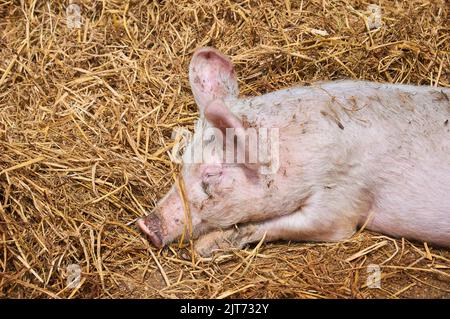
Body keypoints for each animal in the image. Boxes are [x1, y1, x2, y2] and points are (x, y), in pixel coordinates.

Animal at [137, 47, 450, 258]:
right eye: (184, 162)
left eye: (212, 173)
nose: (146, 226)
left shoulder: (342, 198)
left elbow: (286, 225)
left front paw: (202, 248)